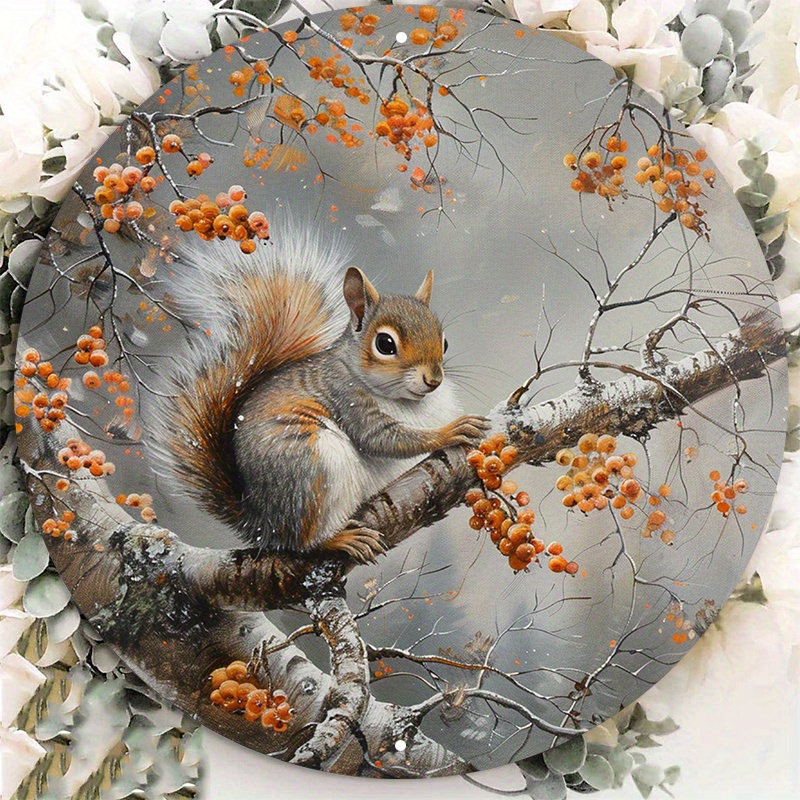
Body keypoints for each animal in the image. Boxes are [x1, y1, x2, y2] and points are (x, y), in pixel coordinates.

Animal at [155, 226, 489, 564]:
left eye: (444, 342)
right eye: (385, 344)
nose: (433, 380)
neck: (408, 400)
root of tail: (262, 523)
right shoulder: (346, 397)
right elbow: (383, 439)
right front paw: (449, 431)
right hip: (310, 471)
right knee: (303, 542)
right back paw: (341, 539)